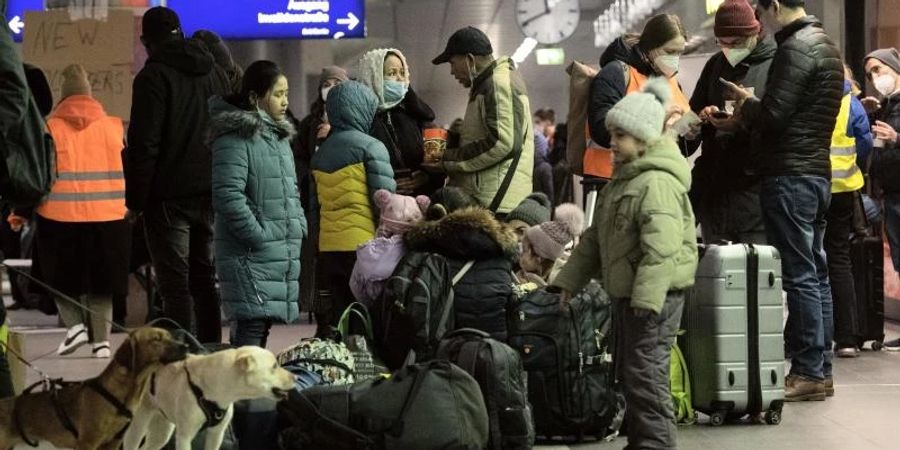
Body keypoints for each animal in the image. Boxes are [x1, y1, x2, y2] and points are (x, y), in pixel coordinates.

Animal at [121, 346, 292, 448]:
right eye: (274, 366)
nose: (295, 377)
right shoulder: (184, 436)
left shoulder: (216, 434)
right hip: (139, 423)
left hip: (162, 429)